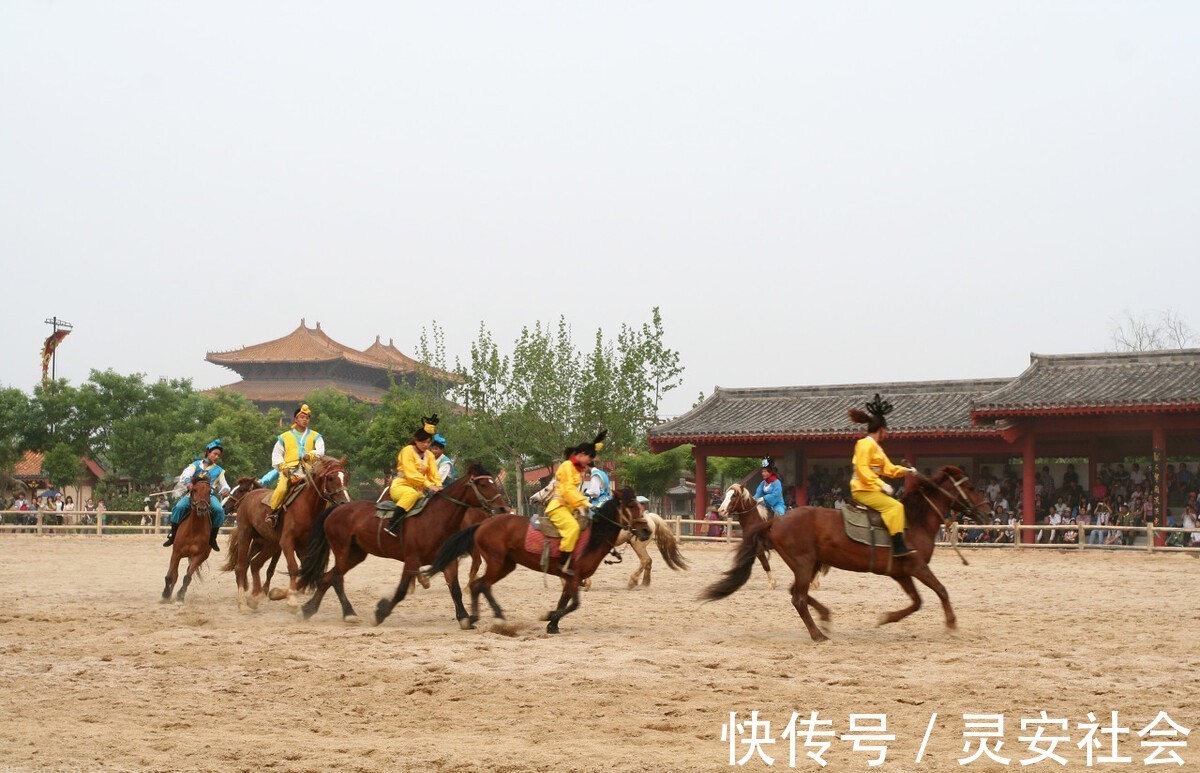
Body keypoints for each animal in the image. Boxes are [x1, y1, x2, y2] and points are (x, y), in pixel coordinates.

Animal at [162, 472, 216, 607]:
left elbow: (187, 578)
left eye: (209, 491)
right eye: (194, 489)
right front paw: (166, 594)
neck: (194, 530)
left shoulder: (198, 556)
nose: (202, 509)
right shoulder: (176, 553)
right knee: (174, 575)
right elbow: (170, 576)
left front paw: (180, 596)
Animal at [224, 456, 350, 612]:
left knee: (255, 563)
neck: (307, 508)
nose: (345, 502)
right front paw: (291, 600)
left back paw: (256, 596)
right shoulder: (286, 542)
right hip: (246, 535)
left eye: (346, 478)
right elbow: (293, 568)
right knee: (241, 566)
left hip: (270, 544)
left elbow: (305, 571)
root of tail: (246, 499)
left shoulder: (302, 546)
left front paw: (279, 593)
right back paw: (242, 602)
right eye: (331, 478)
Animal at [300, 460, 511, 624]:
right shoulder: (411, 560)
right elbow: (401, 591)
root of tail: (336, 509)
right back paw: (348, 613)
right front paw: (381, 613)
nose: (503, 508)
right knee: (336, 578)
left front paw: (464, 617)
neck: (435, 519)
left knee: (328, 577)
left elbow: (456, 590)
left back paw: (310, 609)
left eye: (492, 483)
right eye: (483, 485)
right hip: (342, 550)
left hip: (356, 554)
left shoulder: (448, 561)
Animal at [422, 489, 648, 633]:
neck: (592, 537)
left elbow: (565, 600)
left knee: (479, 585)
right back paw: (491, 616)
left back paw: (477, 617)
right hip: (497, 562)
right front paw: (549, 616)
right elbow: (574, 604)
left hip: (506, 565)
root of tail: (482, 524)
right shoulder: (574, 577)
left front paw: (553, 624)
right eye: (630, 505)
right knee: (481, 584)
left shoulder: (570, 579)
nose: (646, 530)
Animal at [700, 468, 988, 643]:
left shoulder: (902, 573)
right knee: (798, 598)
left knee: (799, 593)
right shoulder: (917, 567)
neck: (913, 521)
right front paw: (951, 624)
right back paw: (818, 634)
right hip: (803, 564)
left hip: (807, 565)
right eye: (972, 487)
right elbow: (941, 591)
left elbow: (917, 602)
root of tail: (776, 522)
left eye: (733, 495)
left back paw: (825, 618)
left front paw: (887, 618)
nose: (985, 512)